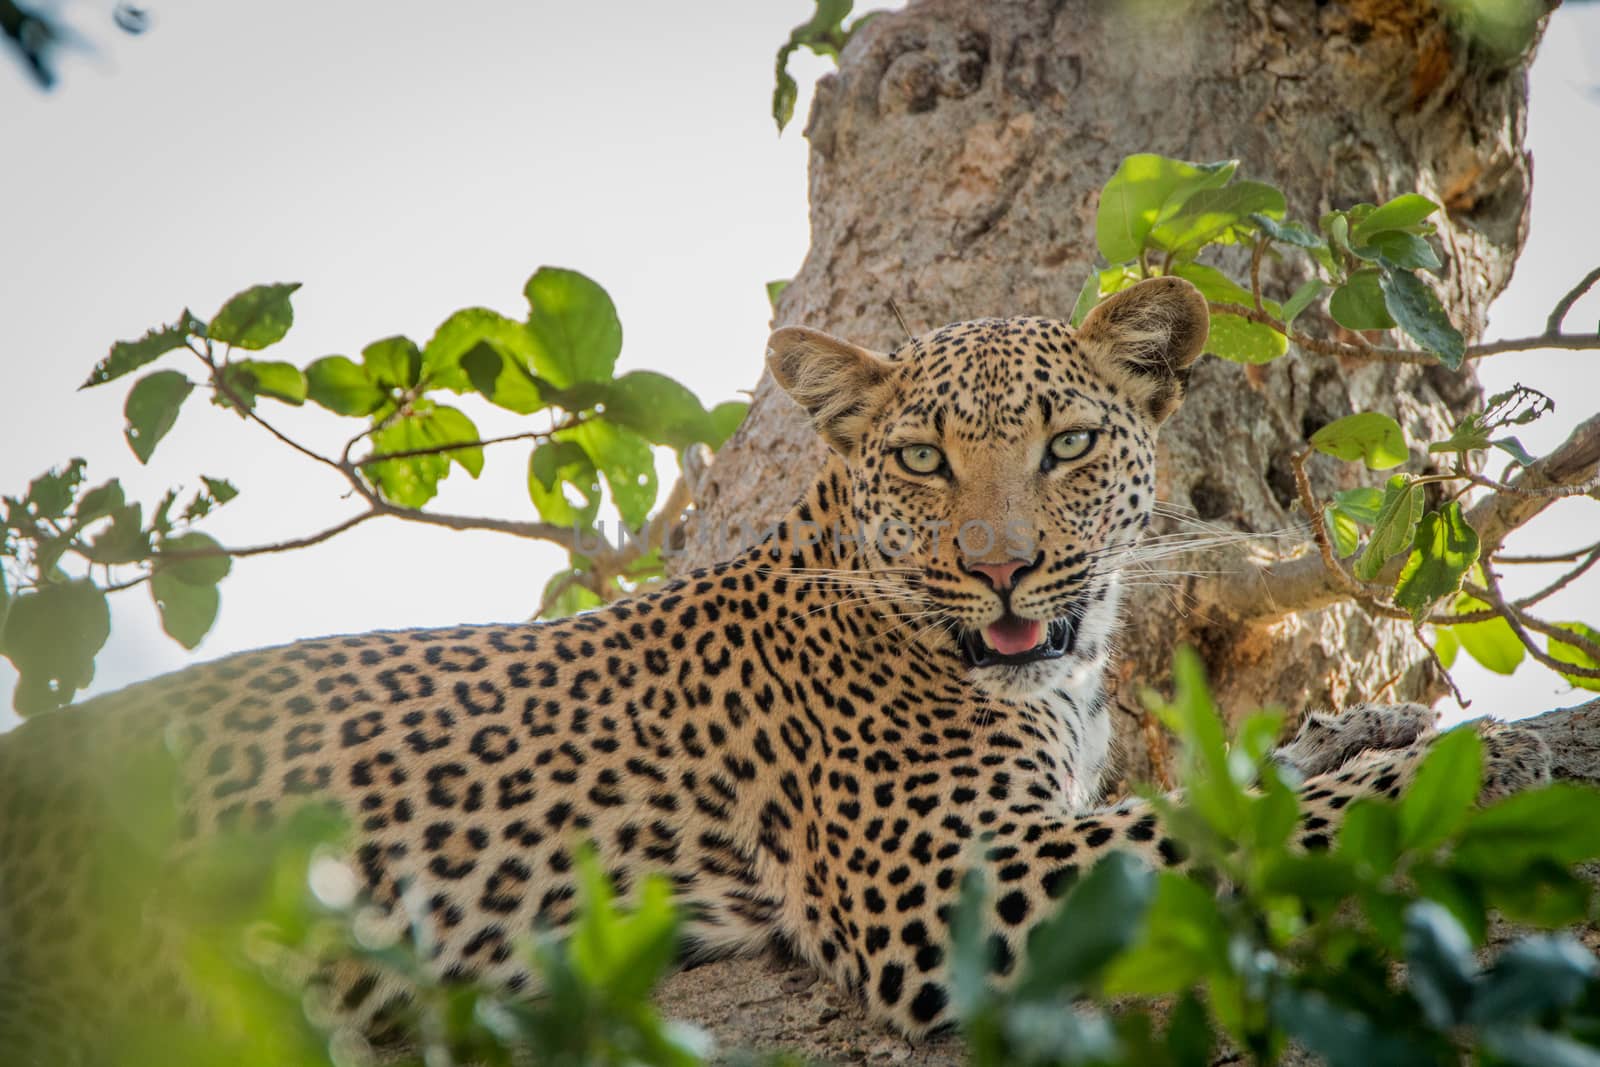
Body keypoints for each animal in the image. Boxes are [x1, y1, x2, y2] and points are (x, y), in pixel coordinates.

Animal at [0, 275, 1548, 1062]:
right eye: (922, 458)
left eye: (1066, 444)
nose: (1004, 566)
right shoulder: (952, 881)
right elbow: (1215, 826)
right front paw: (1477, 756)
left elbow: (1233, 786)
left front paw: (1376, 724)